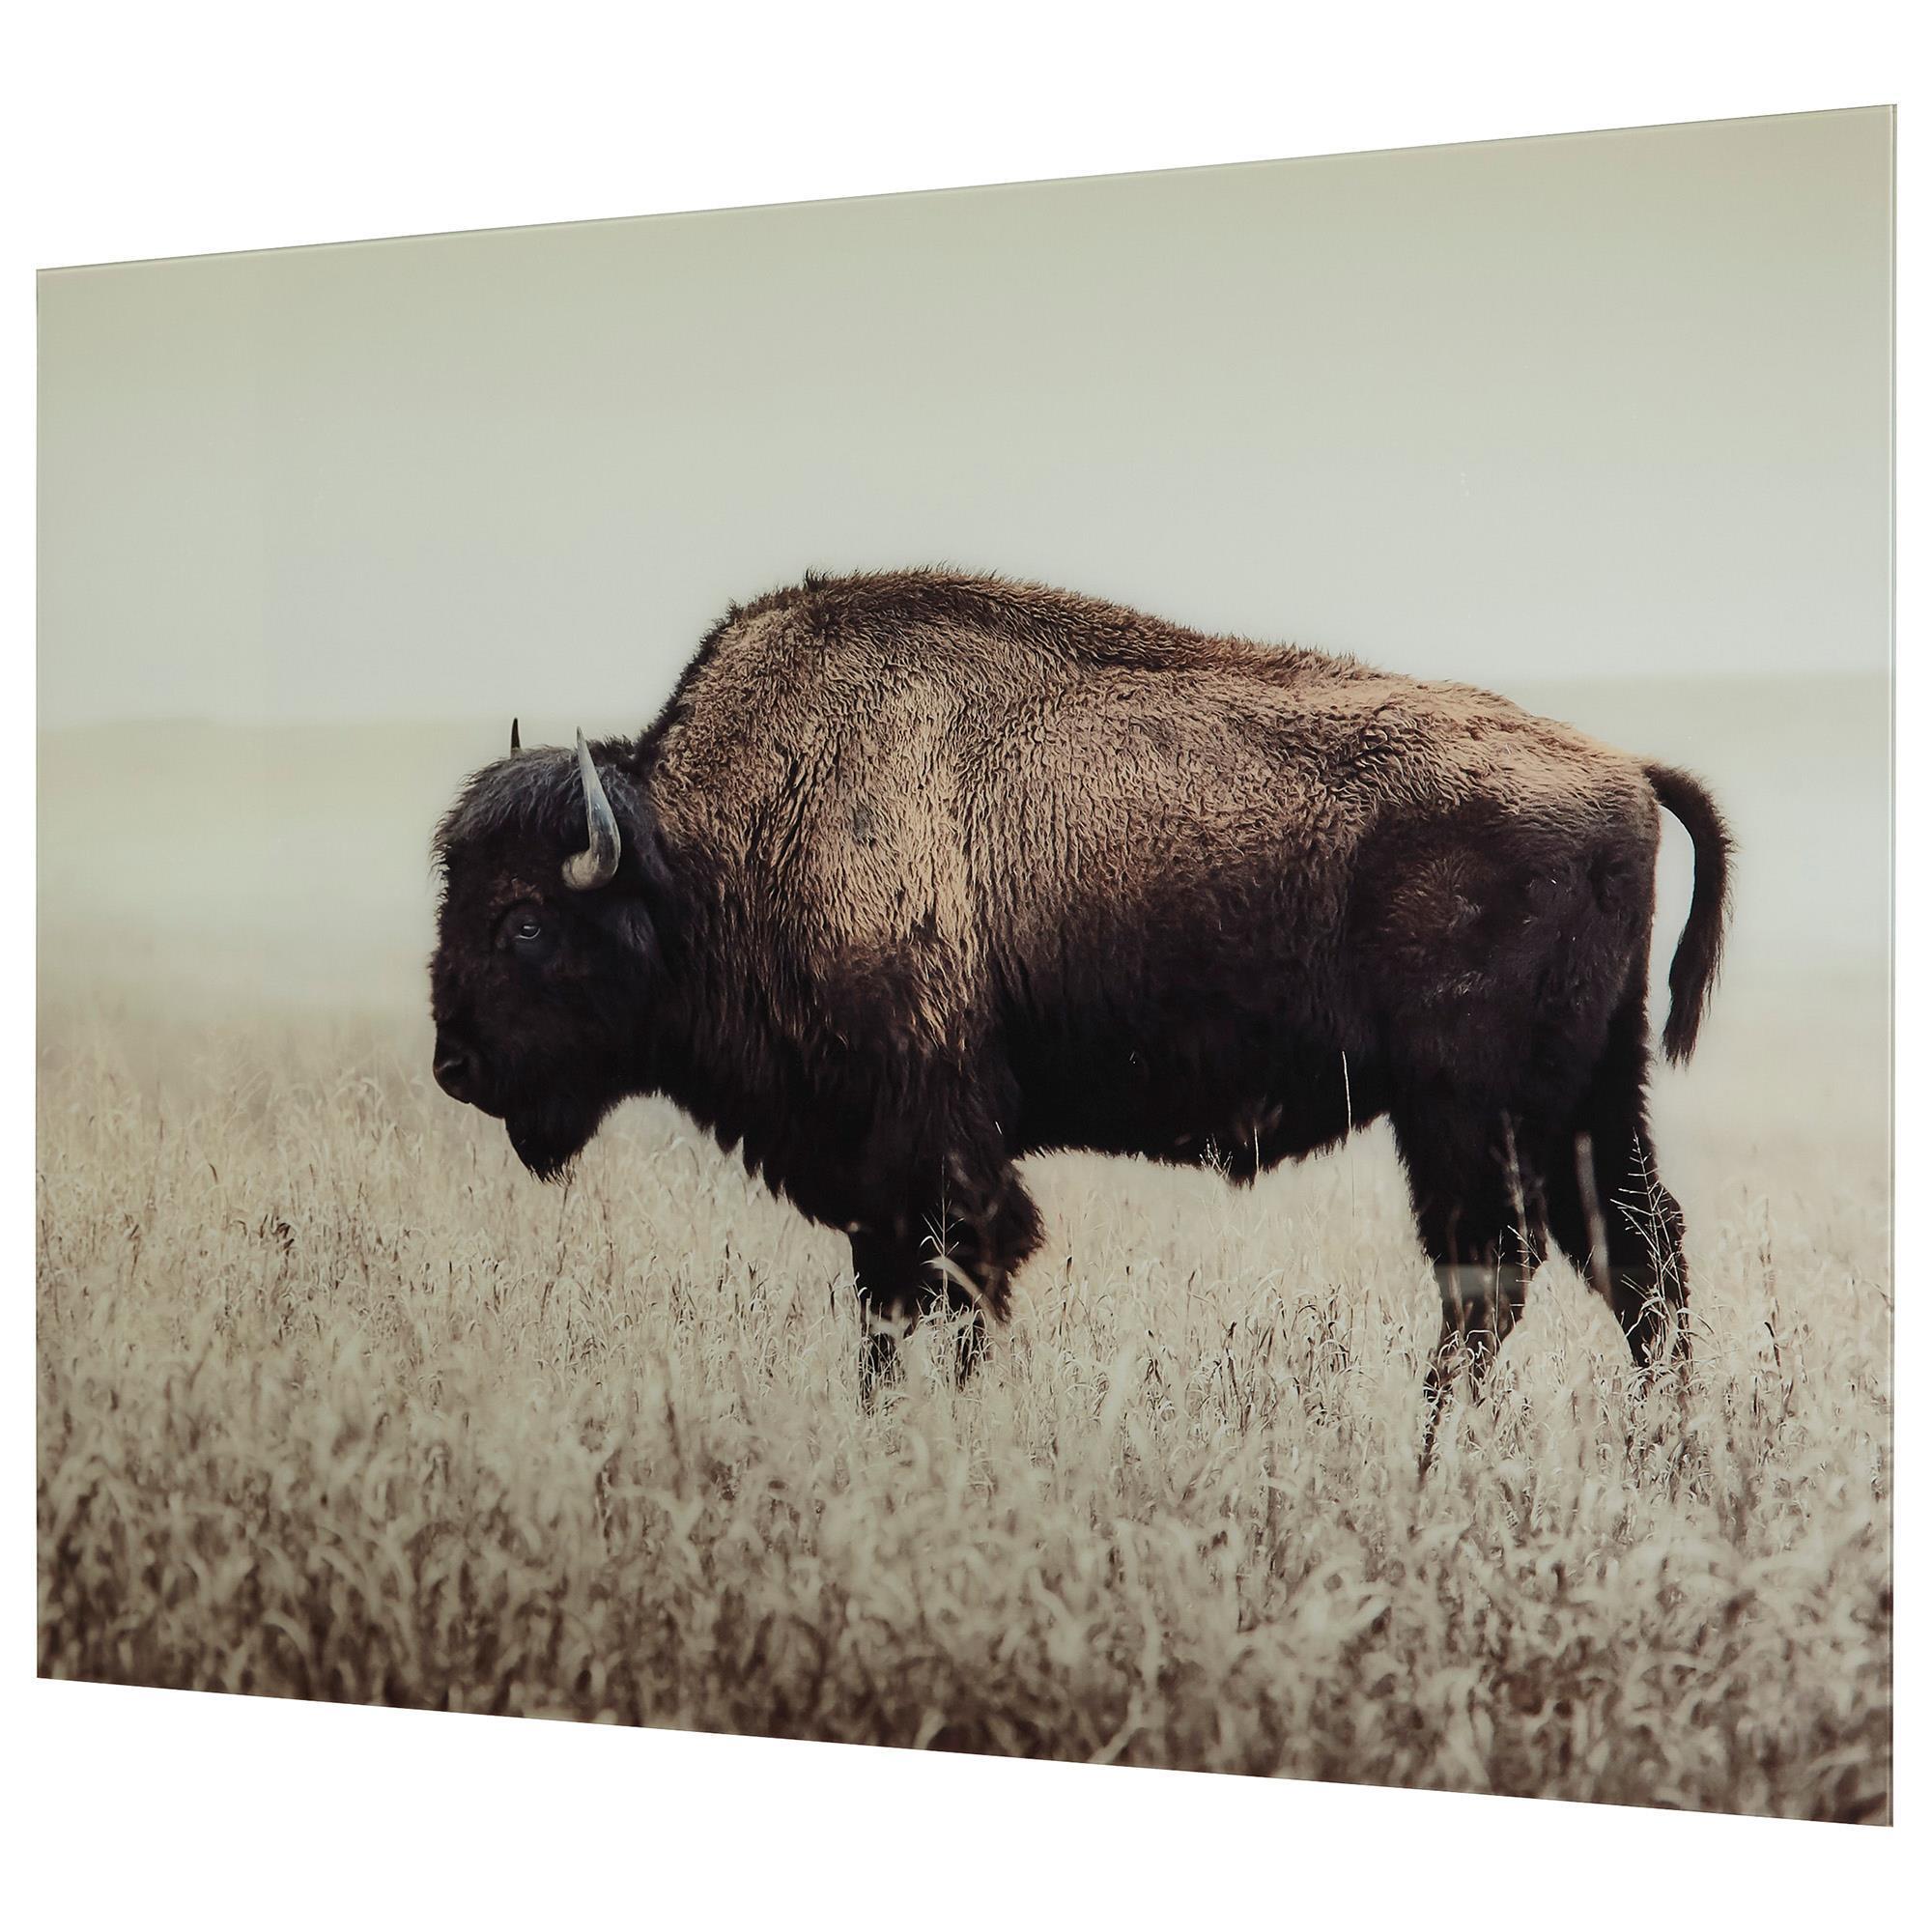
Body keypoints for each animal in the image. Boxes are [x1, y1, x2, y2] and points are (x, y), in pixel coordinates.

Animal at [430, 569, 1731, 1437]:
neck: (706, 850)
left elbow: (950, 1287)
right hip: (1585, 1098)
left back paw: (1430, 1445)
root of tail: (1622, 768)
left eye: (524, 920)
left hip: (1469, 1110)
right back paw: (1655, 1452)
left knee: (1494, 1267)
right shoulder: (880, 1175)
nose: (455, 1066)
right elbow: (887, 1306)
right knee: (1633, 1253)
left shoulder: (935, 1150)